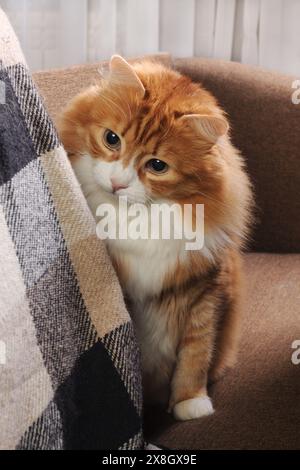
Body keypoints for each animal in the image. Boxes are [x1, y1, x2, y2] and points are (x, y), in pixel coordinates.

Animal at [58, 57, 251, 420]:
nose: (118, 184)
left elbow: (196, 356)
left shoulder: (206, 291)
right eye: (112, 139)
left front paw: (190, 403)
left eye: (157, 166)